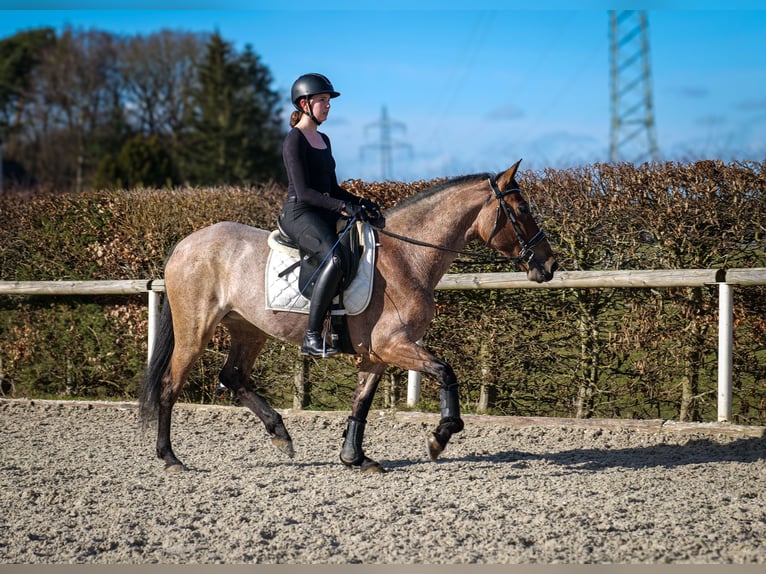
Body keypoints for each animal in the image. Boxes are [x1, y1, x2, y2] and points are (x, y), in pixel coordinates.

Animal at [140, 161, 560, 472]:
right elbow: (445, 371)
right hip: (195, 331)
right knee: (170, 384)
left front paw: (354, 458)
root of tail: (185, 244)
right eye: (523, 210)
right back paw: (170, 458)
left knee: (233, 376)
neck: (407, 258)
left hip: (249, 329)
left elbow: (361, 403)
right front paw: (441, 435)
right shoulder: (394, 344)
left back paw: (280, 434)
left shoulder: (377, 353)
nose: (549, 264)